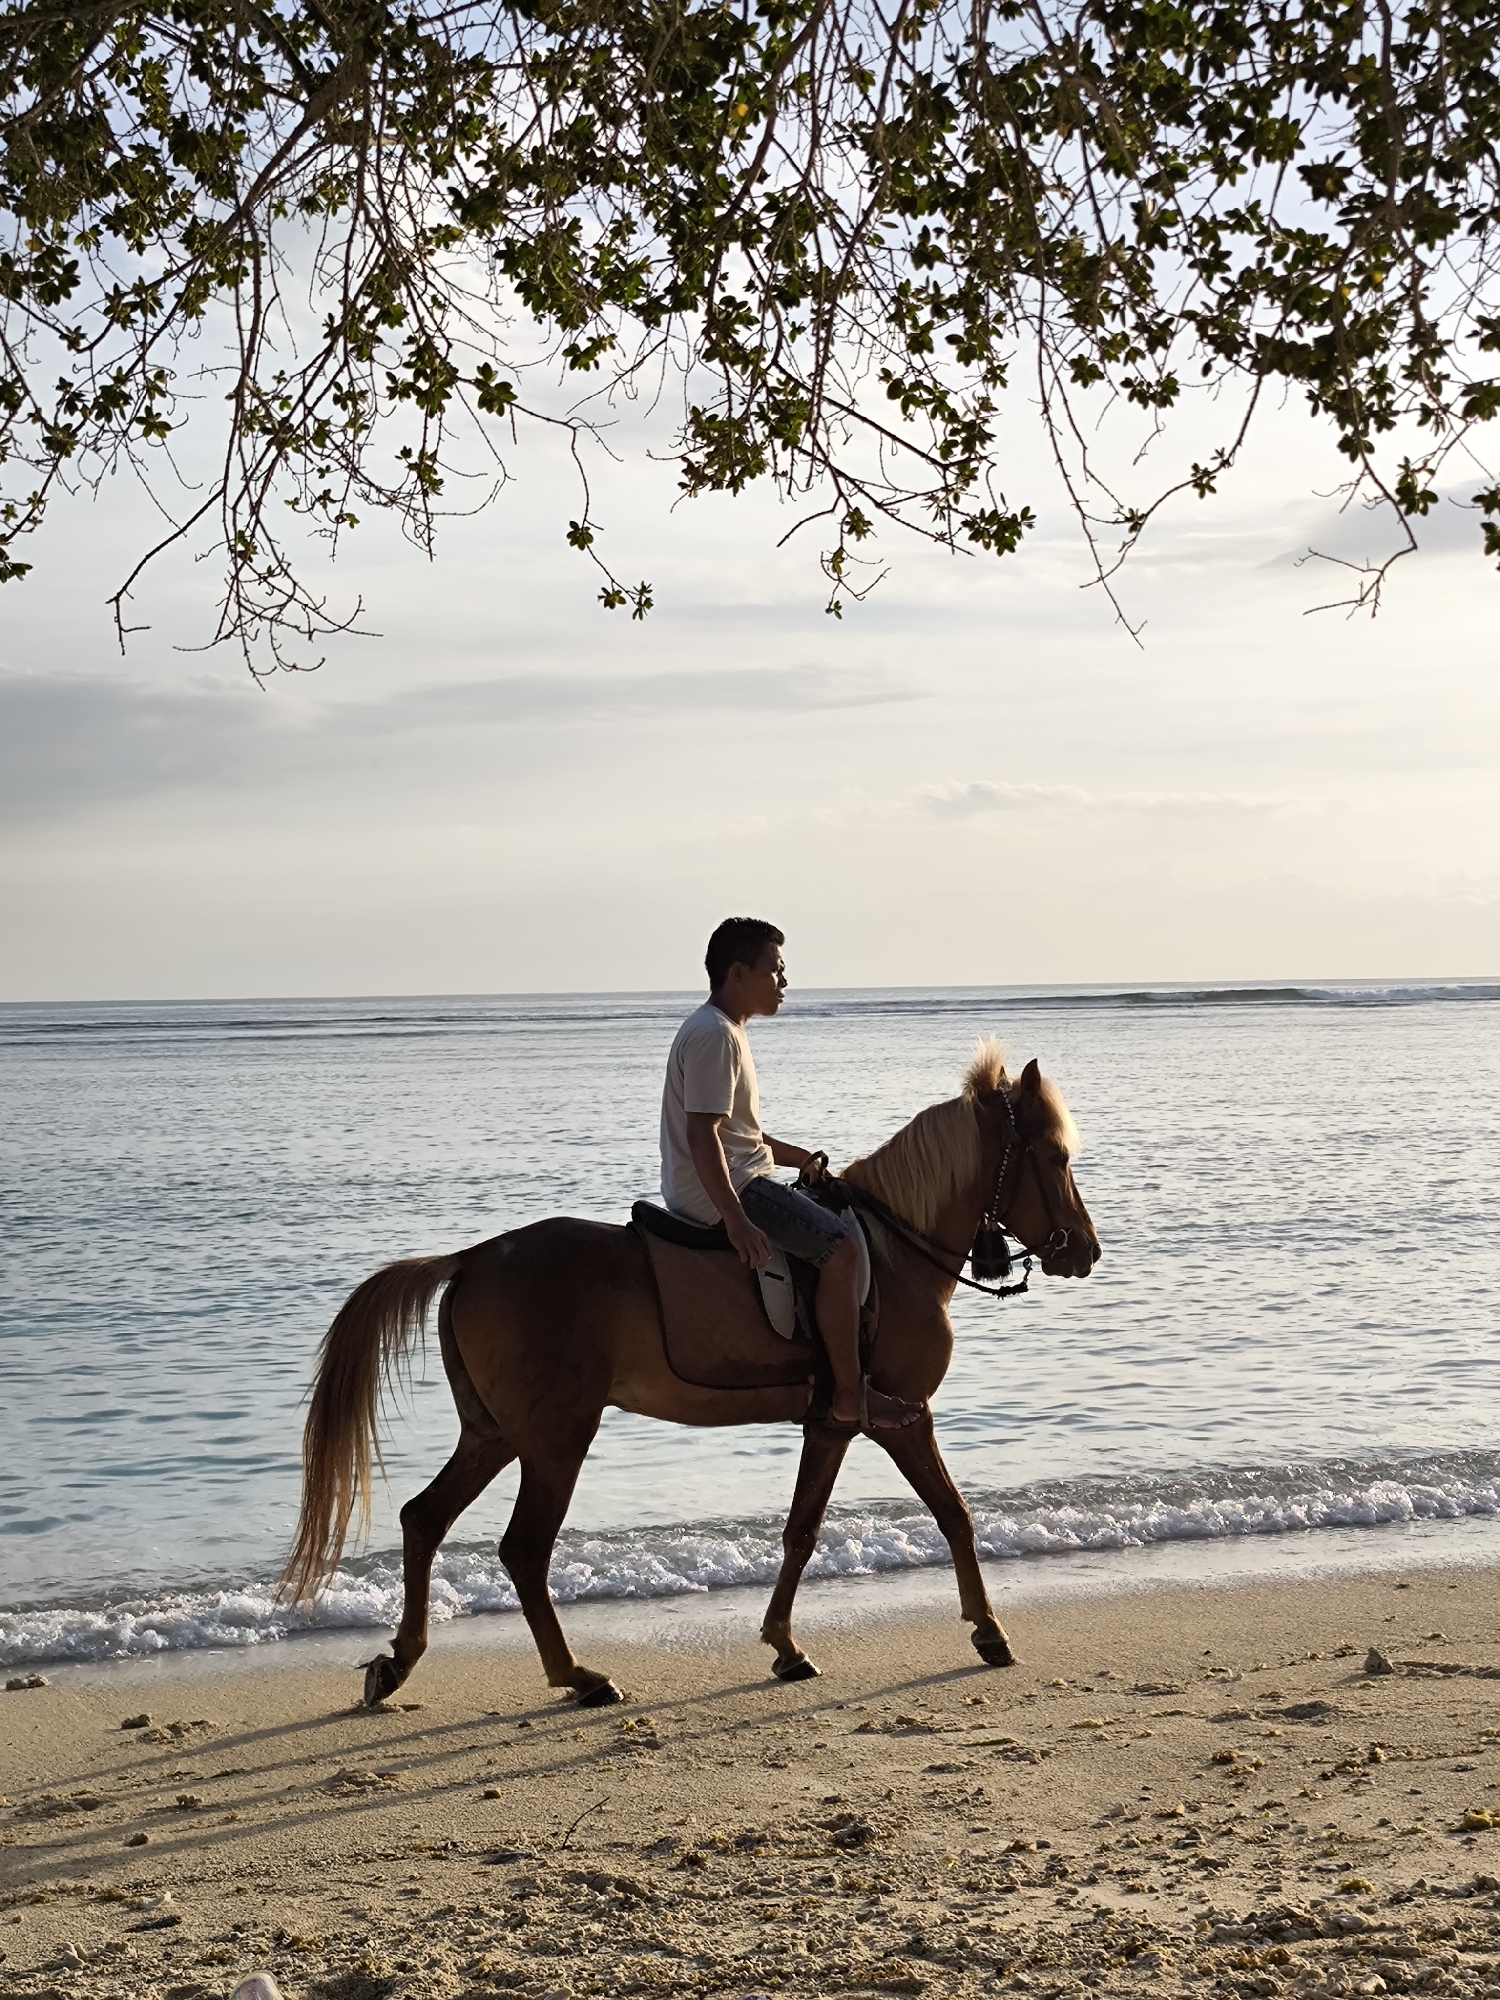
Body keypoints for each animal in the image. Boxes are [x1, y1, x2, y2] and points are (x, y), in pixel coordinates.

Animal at [280, 1039, 1100, 1706]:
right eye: (1057, 1158)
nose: (1085, 1249)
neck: (894, 1253)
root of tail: (475, 1258)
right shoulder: (902, 1415)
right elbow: (955, 1515)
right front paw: (987, 1629)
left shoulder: (832, 1423)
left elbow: (801, 1531)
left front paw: (784, 1644)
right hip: (554, 1438)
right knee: (523, 1549)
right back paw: (575, 1676)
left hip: (495, 1434)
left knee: (425, 1519)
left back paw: (401, 1661)